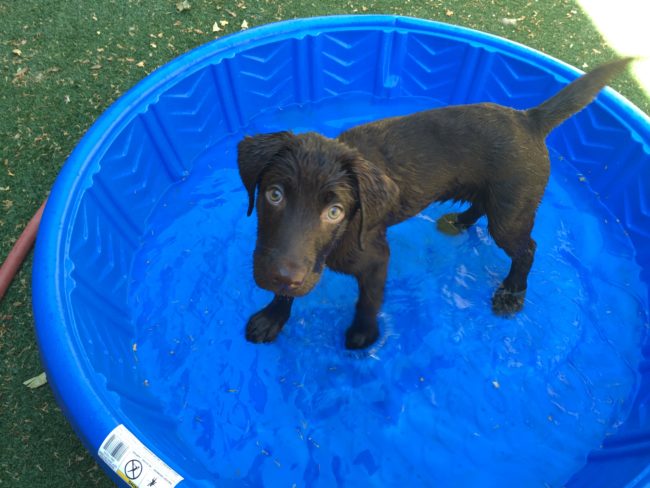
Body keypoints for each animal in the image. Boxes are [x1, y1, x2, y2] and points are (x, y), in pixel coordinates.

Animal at [235, 57, 632, 348]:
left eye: (335, 212)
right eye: (274, 194)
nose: (281, 275)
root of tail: (529, 118)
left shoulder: (375, 258)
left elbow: (368, 299)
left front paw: (364, 334)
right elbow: (287, 288)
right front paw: (273, 317)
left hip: (510, 212)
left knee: (527, 248)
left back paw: (512, 293)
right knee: (483, 206)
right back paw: (460, 222)